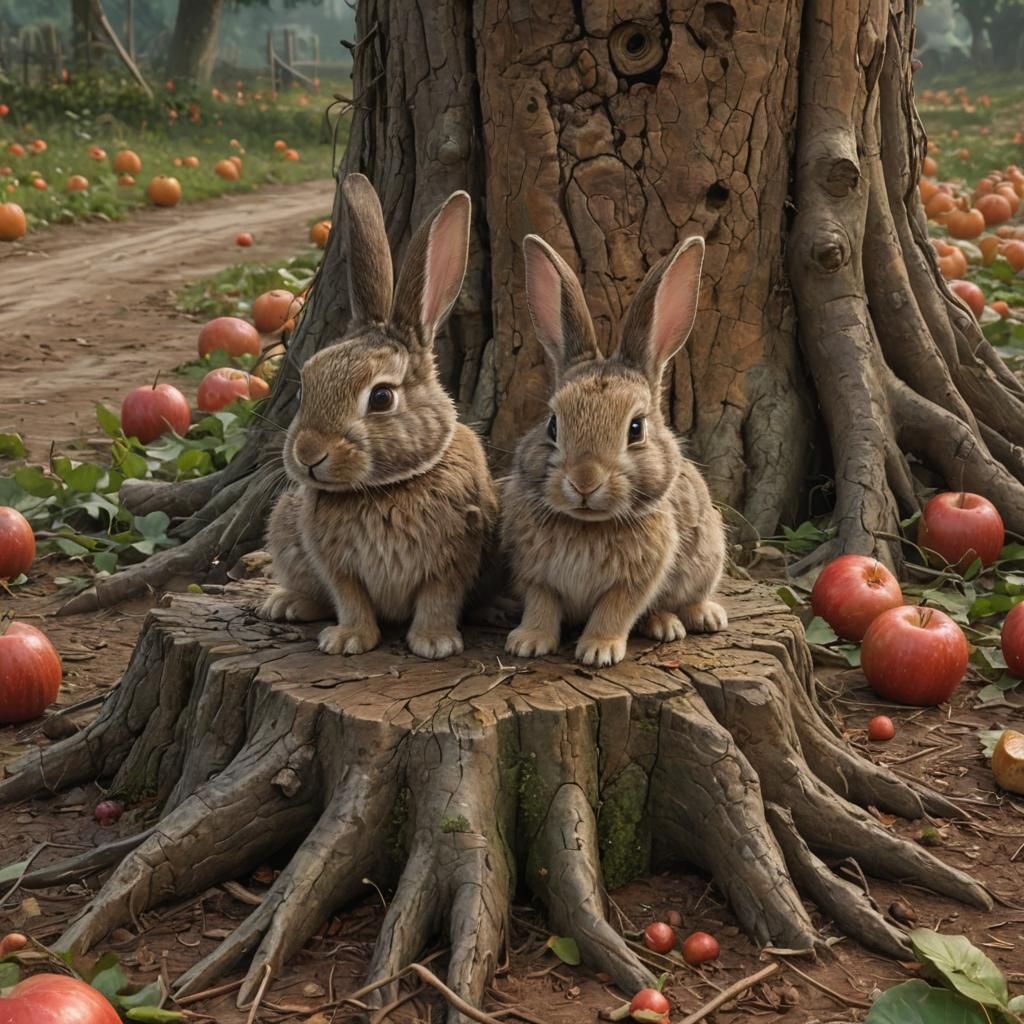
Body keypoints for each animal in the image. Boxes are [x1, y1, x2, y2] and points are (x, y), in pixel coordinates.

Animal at [260, 173, 498, 660]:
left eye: (382, 397)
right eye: (305, 387)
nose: (308, 454)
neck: (383, 488)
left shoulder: (453, 561)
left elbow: (438, 599)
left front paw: (435, 643)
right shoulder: (337, 566)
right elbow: (350, 598)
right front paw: (347, 640)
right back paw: (286, 603)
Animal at [501, 233, 728, 668]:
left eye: (635, 429)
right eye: (552, 424)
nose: (584, 482)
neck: (587, 525)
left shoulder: (636, 581)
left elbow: (616, 609)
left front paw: (599, 650)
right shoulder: (534, 573)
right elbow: (541, 605)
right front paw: (528, 641)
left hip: (707, 554)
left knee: (688, 598)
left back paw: (692, 619)